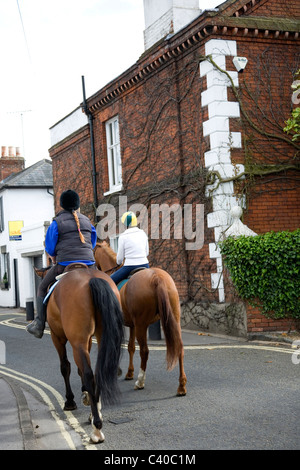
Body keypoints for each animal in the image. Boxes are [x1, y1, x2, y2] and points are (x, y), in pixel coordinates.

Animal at [34, 266, 124, 442]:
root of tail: (91, 278)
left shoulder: (57, 337)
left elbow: (65, 367)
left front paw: (70, 400)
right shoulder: (87, 340)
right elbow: (79, 369)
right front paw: (87, 396)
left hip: (76, 341)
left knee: (88, 374)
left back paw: (96, 429)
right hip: (100, 335)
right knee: (97, 372)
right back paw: (95, 415)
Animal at [95, 242, 186, 396]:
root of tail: (156, 277)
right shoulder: (132, 325)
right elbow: (131, 347)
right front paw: (129, 373)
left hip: (141, 325)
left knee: (144, 351)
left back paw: (140, 382)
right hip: (173, 320)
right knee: (179, 347)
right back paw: (181, 386)